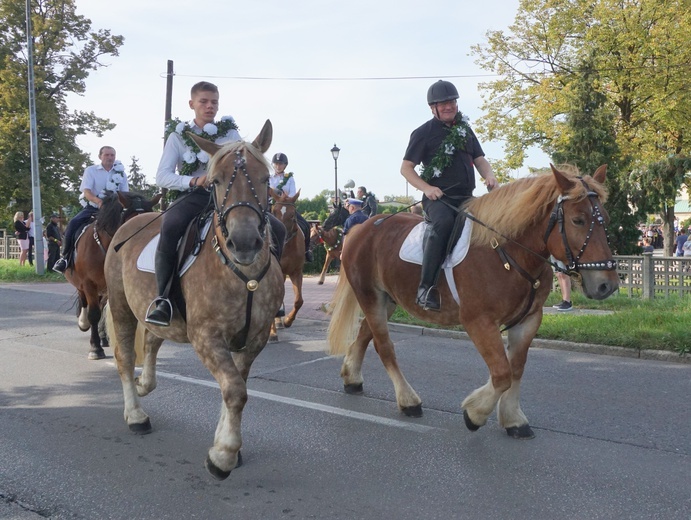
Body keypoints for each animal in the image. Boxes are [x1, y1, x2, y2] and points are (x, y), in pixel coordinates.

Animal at [64, 191, 161, 362]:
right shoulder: (88, 283)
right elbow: (94, 314)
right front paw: (95, 348)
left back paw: (103, 337)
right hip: (83, 284)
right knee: (84, 300)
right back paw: (84, 323)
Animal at [103, 121, 286, 480]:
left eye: (265, 178)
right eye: (214, 181)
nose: (245, 242)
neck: (243, 275)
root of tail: (129, 223)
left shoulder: (253, 339)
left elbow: (236, 388)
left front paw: (225, 445)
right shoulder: (206, 337)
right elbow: (234, 390)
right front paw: (223, 455)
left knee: (152, 343)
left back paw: (144, 384)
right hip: (120, 307)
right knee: (125, 356)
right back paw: (136, 414)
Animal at [328, 164, 620, 438]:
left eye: (605, 218)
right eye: (578, 220)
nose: (607, 284)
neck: (509, 252)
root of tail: (362, 228)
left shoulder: (528, 320)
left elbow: (516, 369)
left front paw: (513, 419)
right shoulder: (479, 322)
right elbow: (502, 373)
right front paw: (475, 413)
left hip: (387, 300)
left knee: (365, 334)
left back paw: (352, 378)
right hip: (370, 296)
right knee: (384, 346)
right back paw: (408, 400)